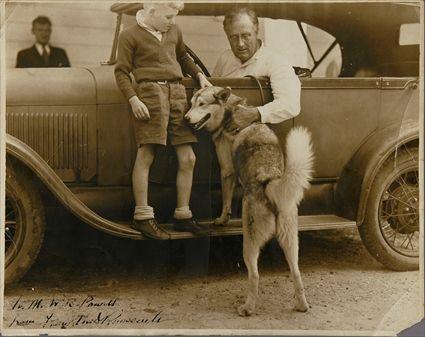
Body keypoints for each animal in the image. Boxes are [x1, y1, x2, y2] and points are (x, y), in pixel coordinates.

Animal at [184, 86, 314, 316]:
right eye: (191, 103)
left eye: (202, 104)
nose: (186, 118)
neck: (231, 111)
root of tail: (269, 180)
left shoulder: (227, 171)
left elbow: (226, 198)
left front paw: (222, 219)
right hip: (291, 242)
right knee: (296, 273)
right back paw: (301, 305)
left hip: (250, 243)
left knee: (254, 275)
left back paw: (247, 308)